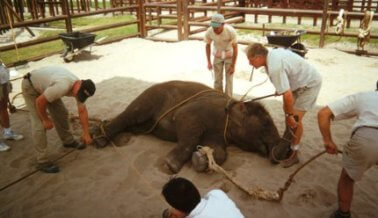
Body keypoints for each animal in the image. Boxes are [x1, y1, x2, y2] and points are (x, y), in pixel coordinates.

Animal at [91, 81, 292, 173]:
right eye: (266, 123)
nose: (288, 151)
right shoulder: (196, 111)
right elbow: (188, 126)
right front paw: (171, 165)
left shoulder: (219, 133)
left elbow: (220, 152)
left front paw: (200, 159)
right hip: (148, 98)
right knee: (128, 115)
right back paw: (98, 138)